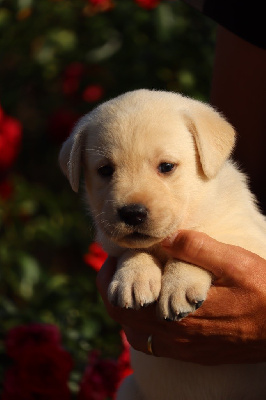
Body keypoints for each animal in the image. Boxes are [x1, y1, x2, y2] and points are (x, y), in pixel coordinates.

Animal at [59, 90, 266, 400]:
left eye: (166, 167)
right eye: (105, 170)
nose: (132, 213)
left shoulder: (249, 238)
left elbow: (205, 238)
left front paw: (180, 285)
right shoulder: (117, 244)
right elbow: (133, 249)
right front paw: (134, 277)